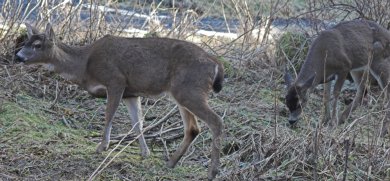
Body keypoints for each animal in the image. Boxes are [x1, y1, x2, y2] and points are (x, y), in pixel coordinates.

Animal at [16, 23, 225, 180]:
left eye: (37, 45)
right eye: (26, 41)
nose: (18, 56)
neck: (84, 65)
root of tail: (216, 64)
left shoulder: (115, 80)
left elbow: (109, 115)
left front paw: (102, 146)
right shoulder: (131, 94)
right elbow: (137, 123)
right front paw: (145, 152)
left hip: (189, 89)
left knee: (216, 121)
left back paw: (212, 172)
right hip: (182, 92)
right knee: (193, 128)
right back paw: (171, 163)